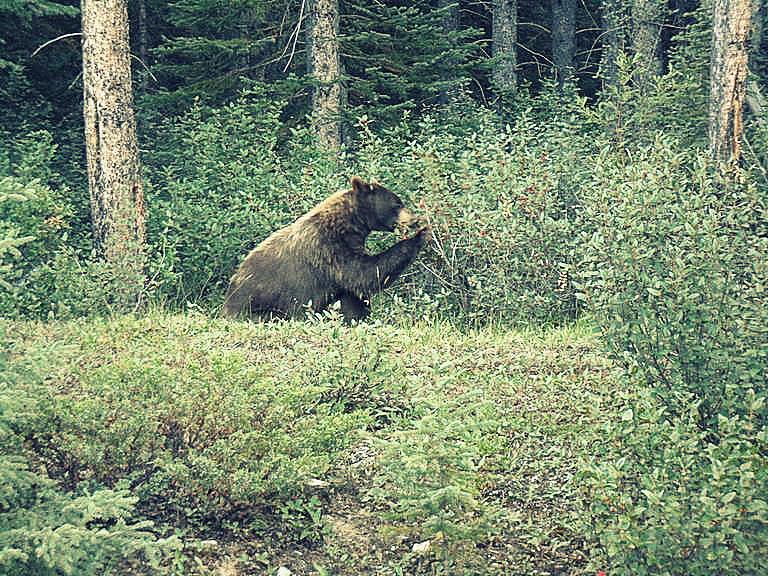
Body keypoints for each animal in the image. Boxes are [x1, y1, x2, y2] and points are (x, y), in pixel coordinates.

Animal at [220, 176, 432, 322]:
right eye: (397, 203)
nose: (415, 219)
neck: (348, 225)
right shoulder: (328, 251)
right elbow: (366, 274)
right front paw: (421, 235)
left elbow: (352, 295)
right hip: (255, 304)